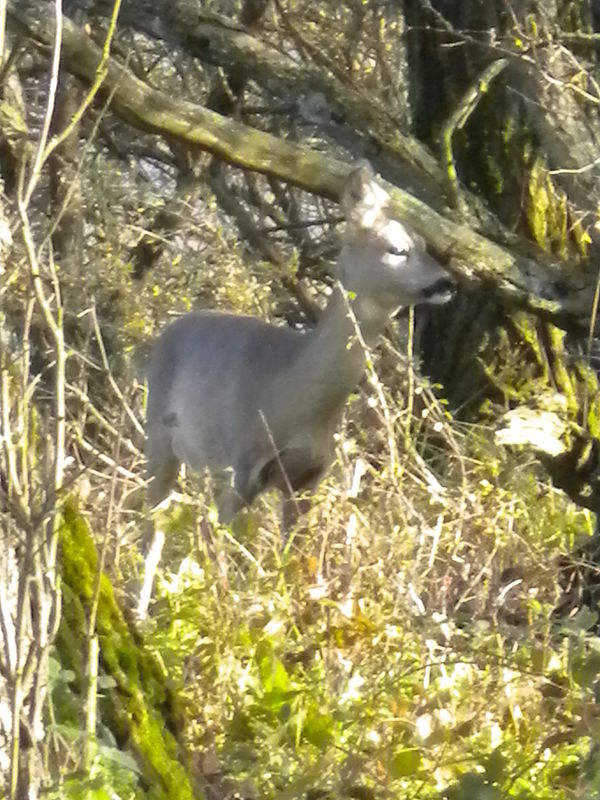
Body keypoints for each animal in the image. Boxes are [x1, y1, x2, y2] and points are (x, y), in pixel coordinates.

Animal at [146, 162, 454, 524]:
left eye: (424, 245)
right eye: (397, 249)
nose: (447, 282)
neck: (292, 387)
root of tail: (167, 332)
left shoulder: (308, 479)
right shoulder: (243, 464)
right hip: (159, 436)